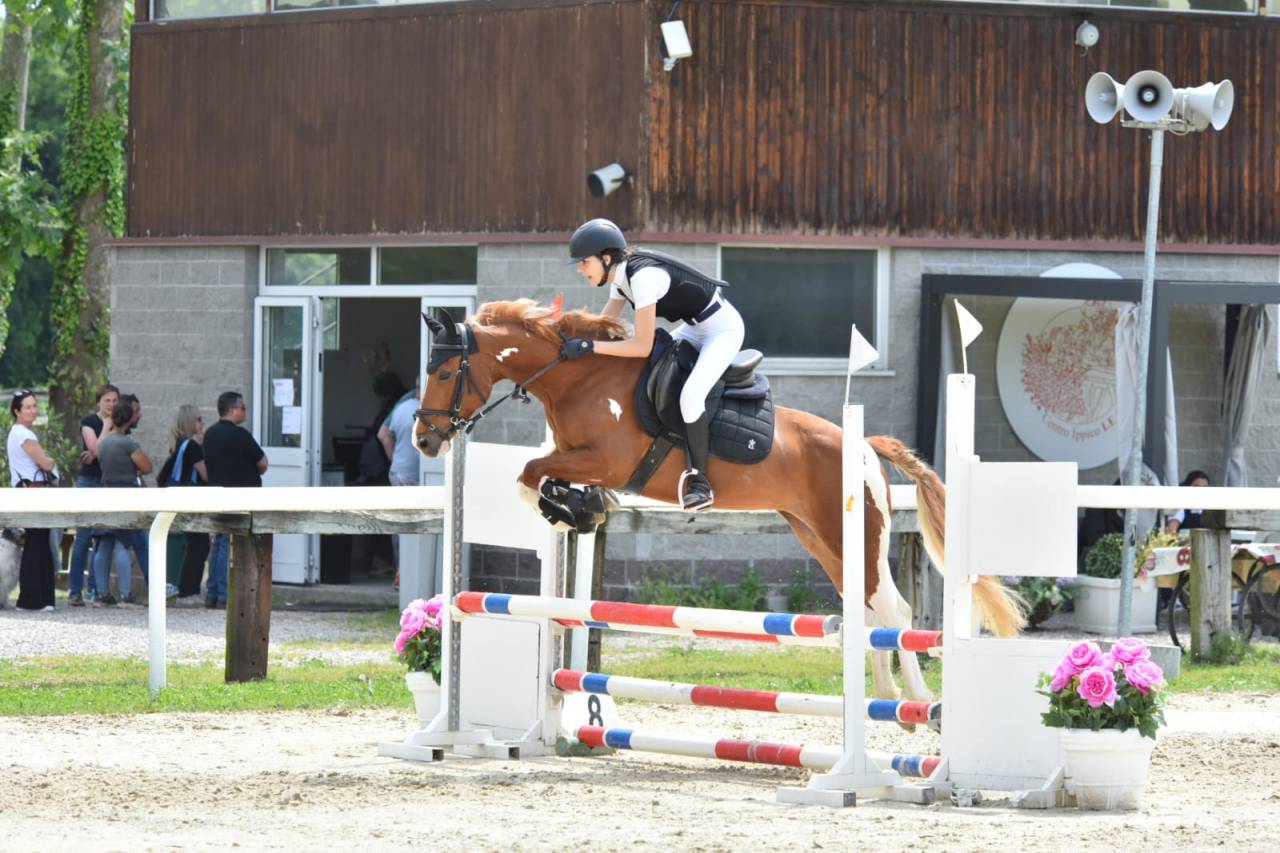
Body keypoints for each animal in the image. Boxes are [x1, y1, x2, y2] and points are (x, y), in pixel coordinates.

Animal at [414, 298, 1024, 705]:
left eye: (442, 371)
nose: (425, 441)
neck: (578, 376)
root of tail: (866, 447)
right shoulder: (575, 457)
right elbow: (534, 474)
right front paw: (578, 509)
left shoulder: (605, 460)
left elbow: (529, 473)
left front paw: (569, 508)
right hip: (820, 536)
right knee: (870, 609)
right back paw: (883, 696)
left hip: (852, 531)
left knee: (892, 610)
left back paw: (915, 701)